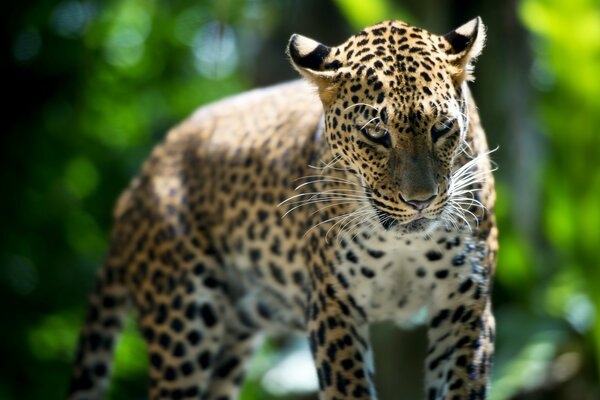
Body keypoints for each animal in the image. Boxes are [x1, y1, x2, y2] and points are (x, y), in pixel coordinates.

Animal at [69, 16, 496, 400]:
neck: (403, 243)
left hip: (232, 341)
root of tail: (135, 188)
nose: (420, 200)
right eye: (376, 133)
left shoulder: (466, 302)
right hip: (183, 324)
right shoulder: (332, 303)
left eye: (442, 128)